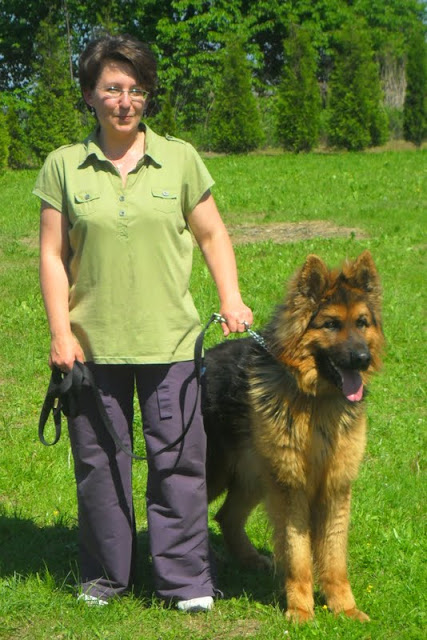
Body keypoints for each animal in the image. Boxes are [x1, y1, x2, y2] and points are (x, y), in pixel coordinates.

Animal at [202, 250, 383, 622]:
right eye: (331, 324)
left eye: (362, 323)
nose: (362, 358)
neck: (315, 399)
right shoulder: (292, 487)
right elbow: (298, 555)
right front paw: (300, 611)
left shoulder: (334, 486)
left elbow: (334, 557)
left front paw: (345, 608)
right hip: (218, 474)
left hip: (255, 475)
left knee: (227, 516)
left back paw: (249, 560)